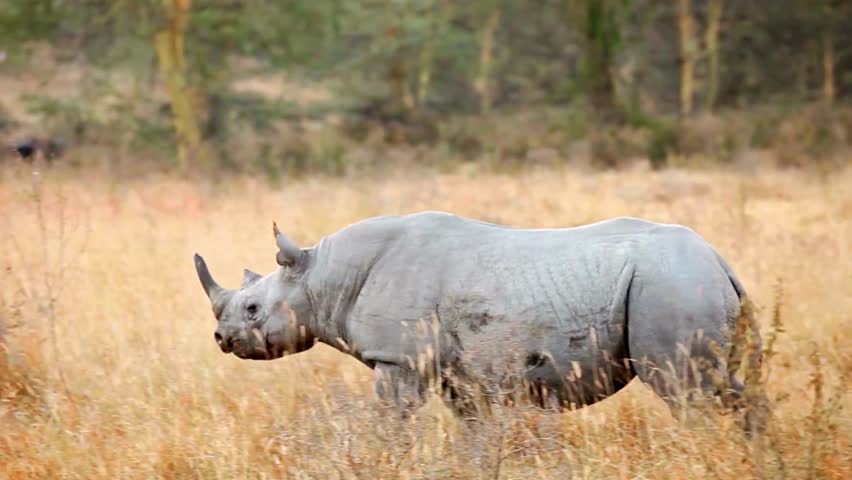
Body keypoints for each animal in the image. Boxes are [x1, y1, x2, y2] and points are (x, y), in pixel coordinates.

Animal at [194, 211, 766, 432]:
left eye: (252, 309)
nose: (221, 339)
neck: (323, 274)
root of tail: (721, 261)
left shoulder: (398, 359)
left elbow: (389, 426)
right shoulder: (460, 375)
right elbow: (474, 437)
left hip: (669, 284)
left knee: (684, 391)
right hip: (682, 281)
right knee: (725, 388)